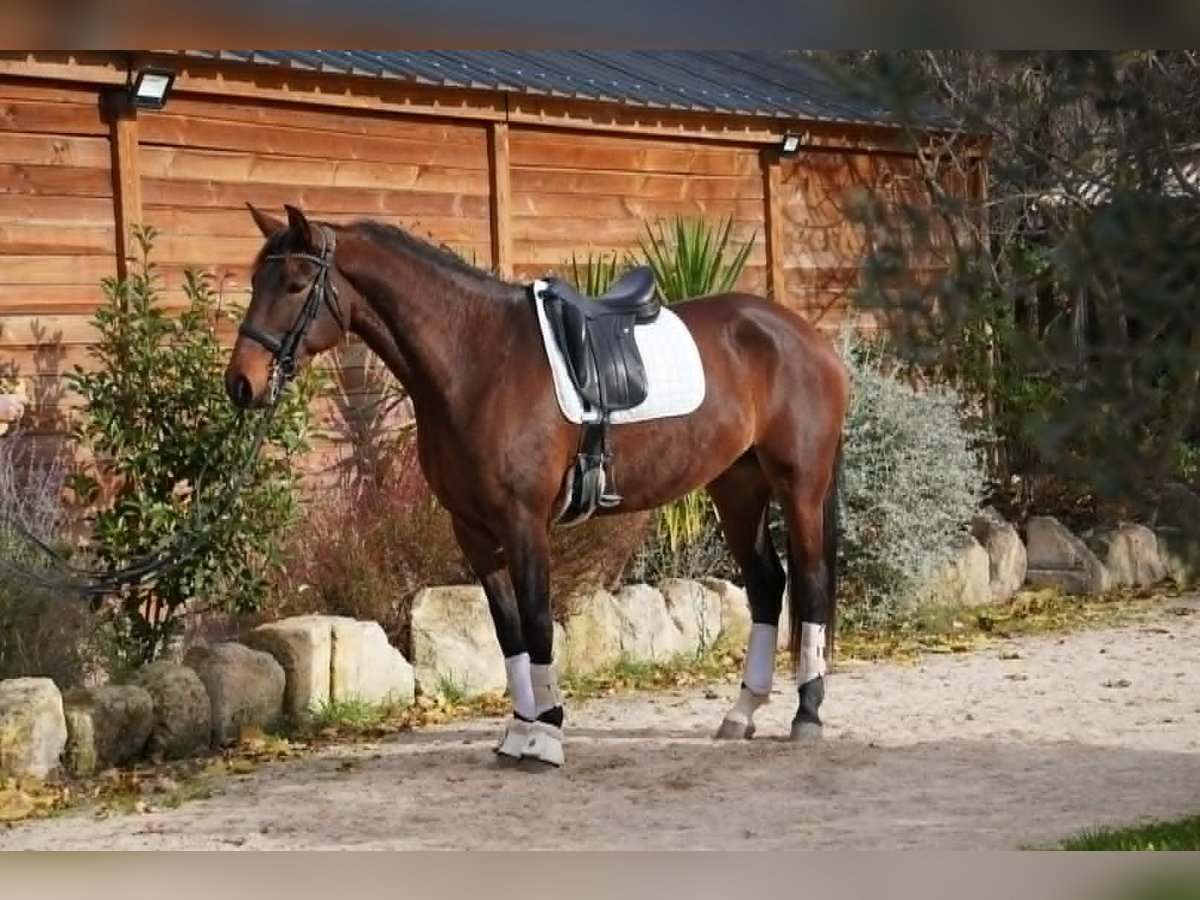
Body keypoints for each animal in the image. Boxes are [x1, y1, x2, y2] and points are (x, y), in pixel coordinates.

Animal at [225, 203, 849, 768]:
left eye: (295, 283)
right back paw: (741, 713)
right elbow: (510, 634)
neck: (477, 361)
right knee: (767, 585)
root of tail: (806, 336)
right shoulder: (474, 532)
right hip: (736, 489)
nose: (241, 384)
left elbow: (539, 623)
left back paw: (807, 715)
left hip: (799, 485)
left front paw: (547, 736)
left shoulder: (523, 523)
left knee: (810, 581)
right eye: (256, 280)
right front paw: (519, 734)